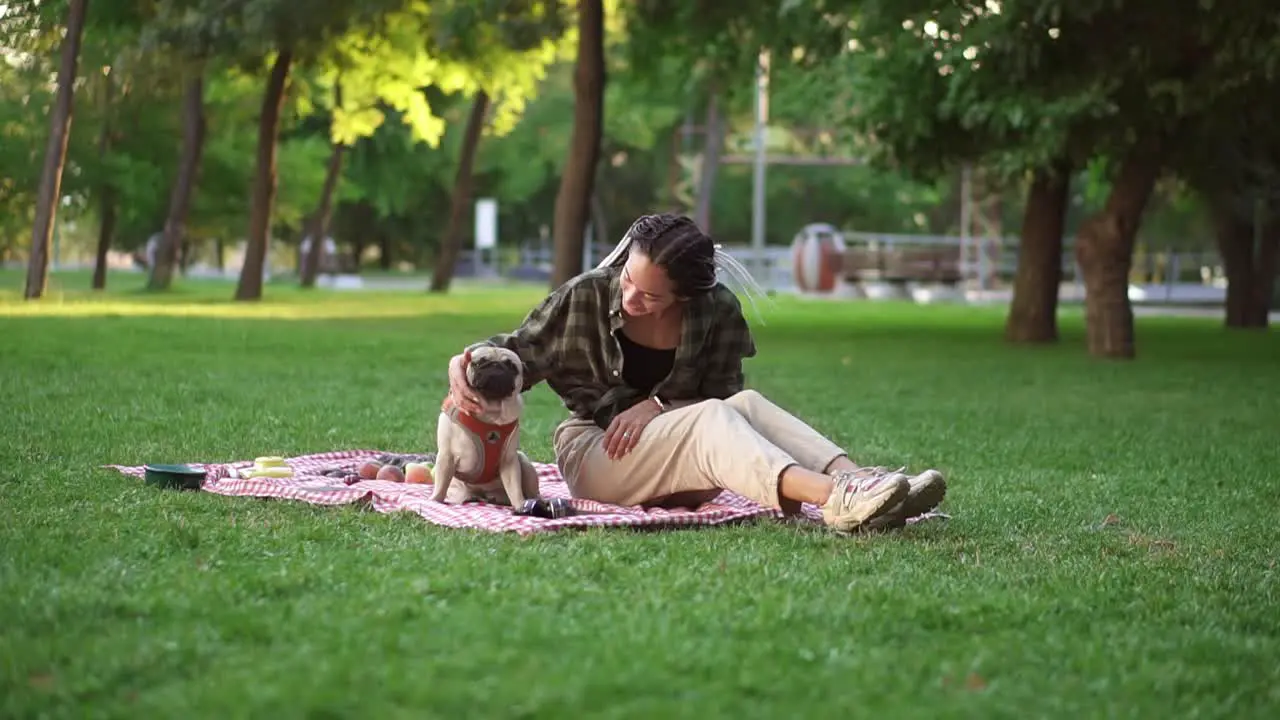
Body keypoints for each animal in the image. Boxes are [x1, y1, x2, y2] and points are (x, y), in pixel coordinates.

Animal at [430, 345, 540, 507]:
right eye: (479, 363)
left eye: (512, 366)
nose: (495, 365)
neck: (490, 410)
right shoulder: (446, 456)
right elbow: (441, 484)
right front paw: (435, 501)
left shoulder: (509, 461)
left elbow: (515, 489)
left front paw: (520, 505)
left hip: (525, 463)